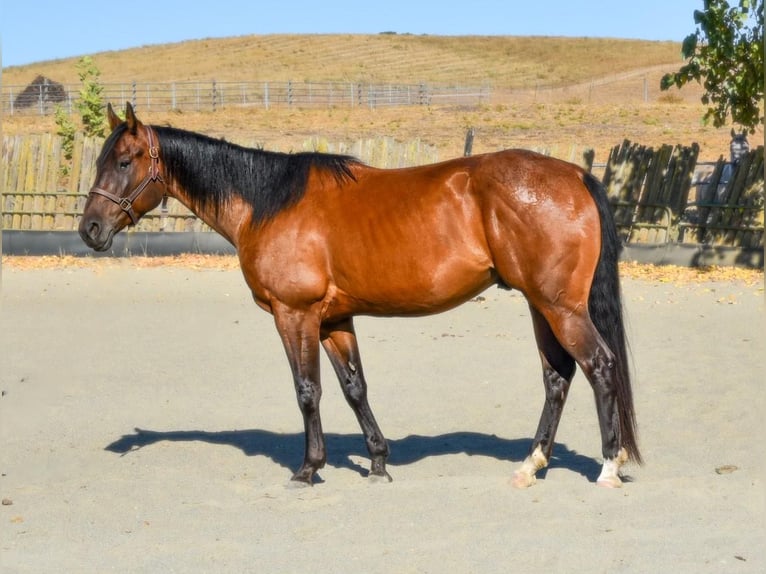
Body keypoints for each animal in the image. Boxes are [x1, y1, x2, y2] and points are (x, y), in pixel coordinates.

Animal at [79, 102, 641, 489]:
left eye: (125, 160)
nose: (90, 230)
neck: (268, 202)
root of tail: (575, 174)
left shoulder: (295, 315)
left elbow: (308, 391)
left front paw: (308, 469)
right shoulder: (334, 320)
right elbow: (354, 389)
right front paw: (377, 463)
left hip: (559, 307)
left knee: (599, 367)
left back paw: (608, 467)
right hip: (541, 305)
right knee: (557, 378)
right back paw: (531, 464)